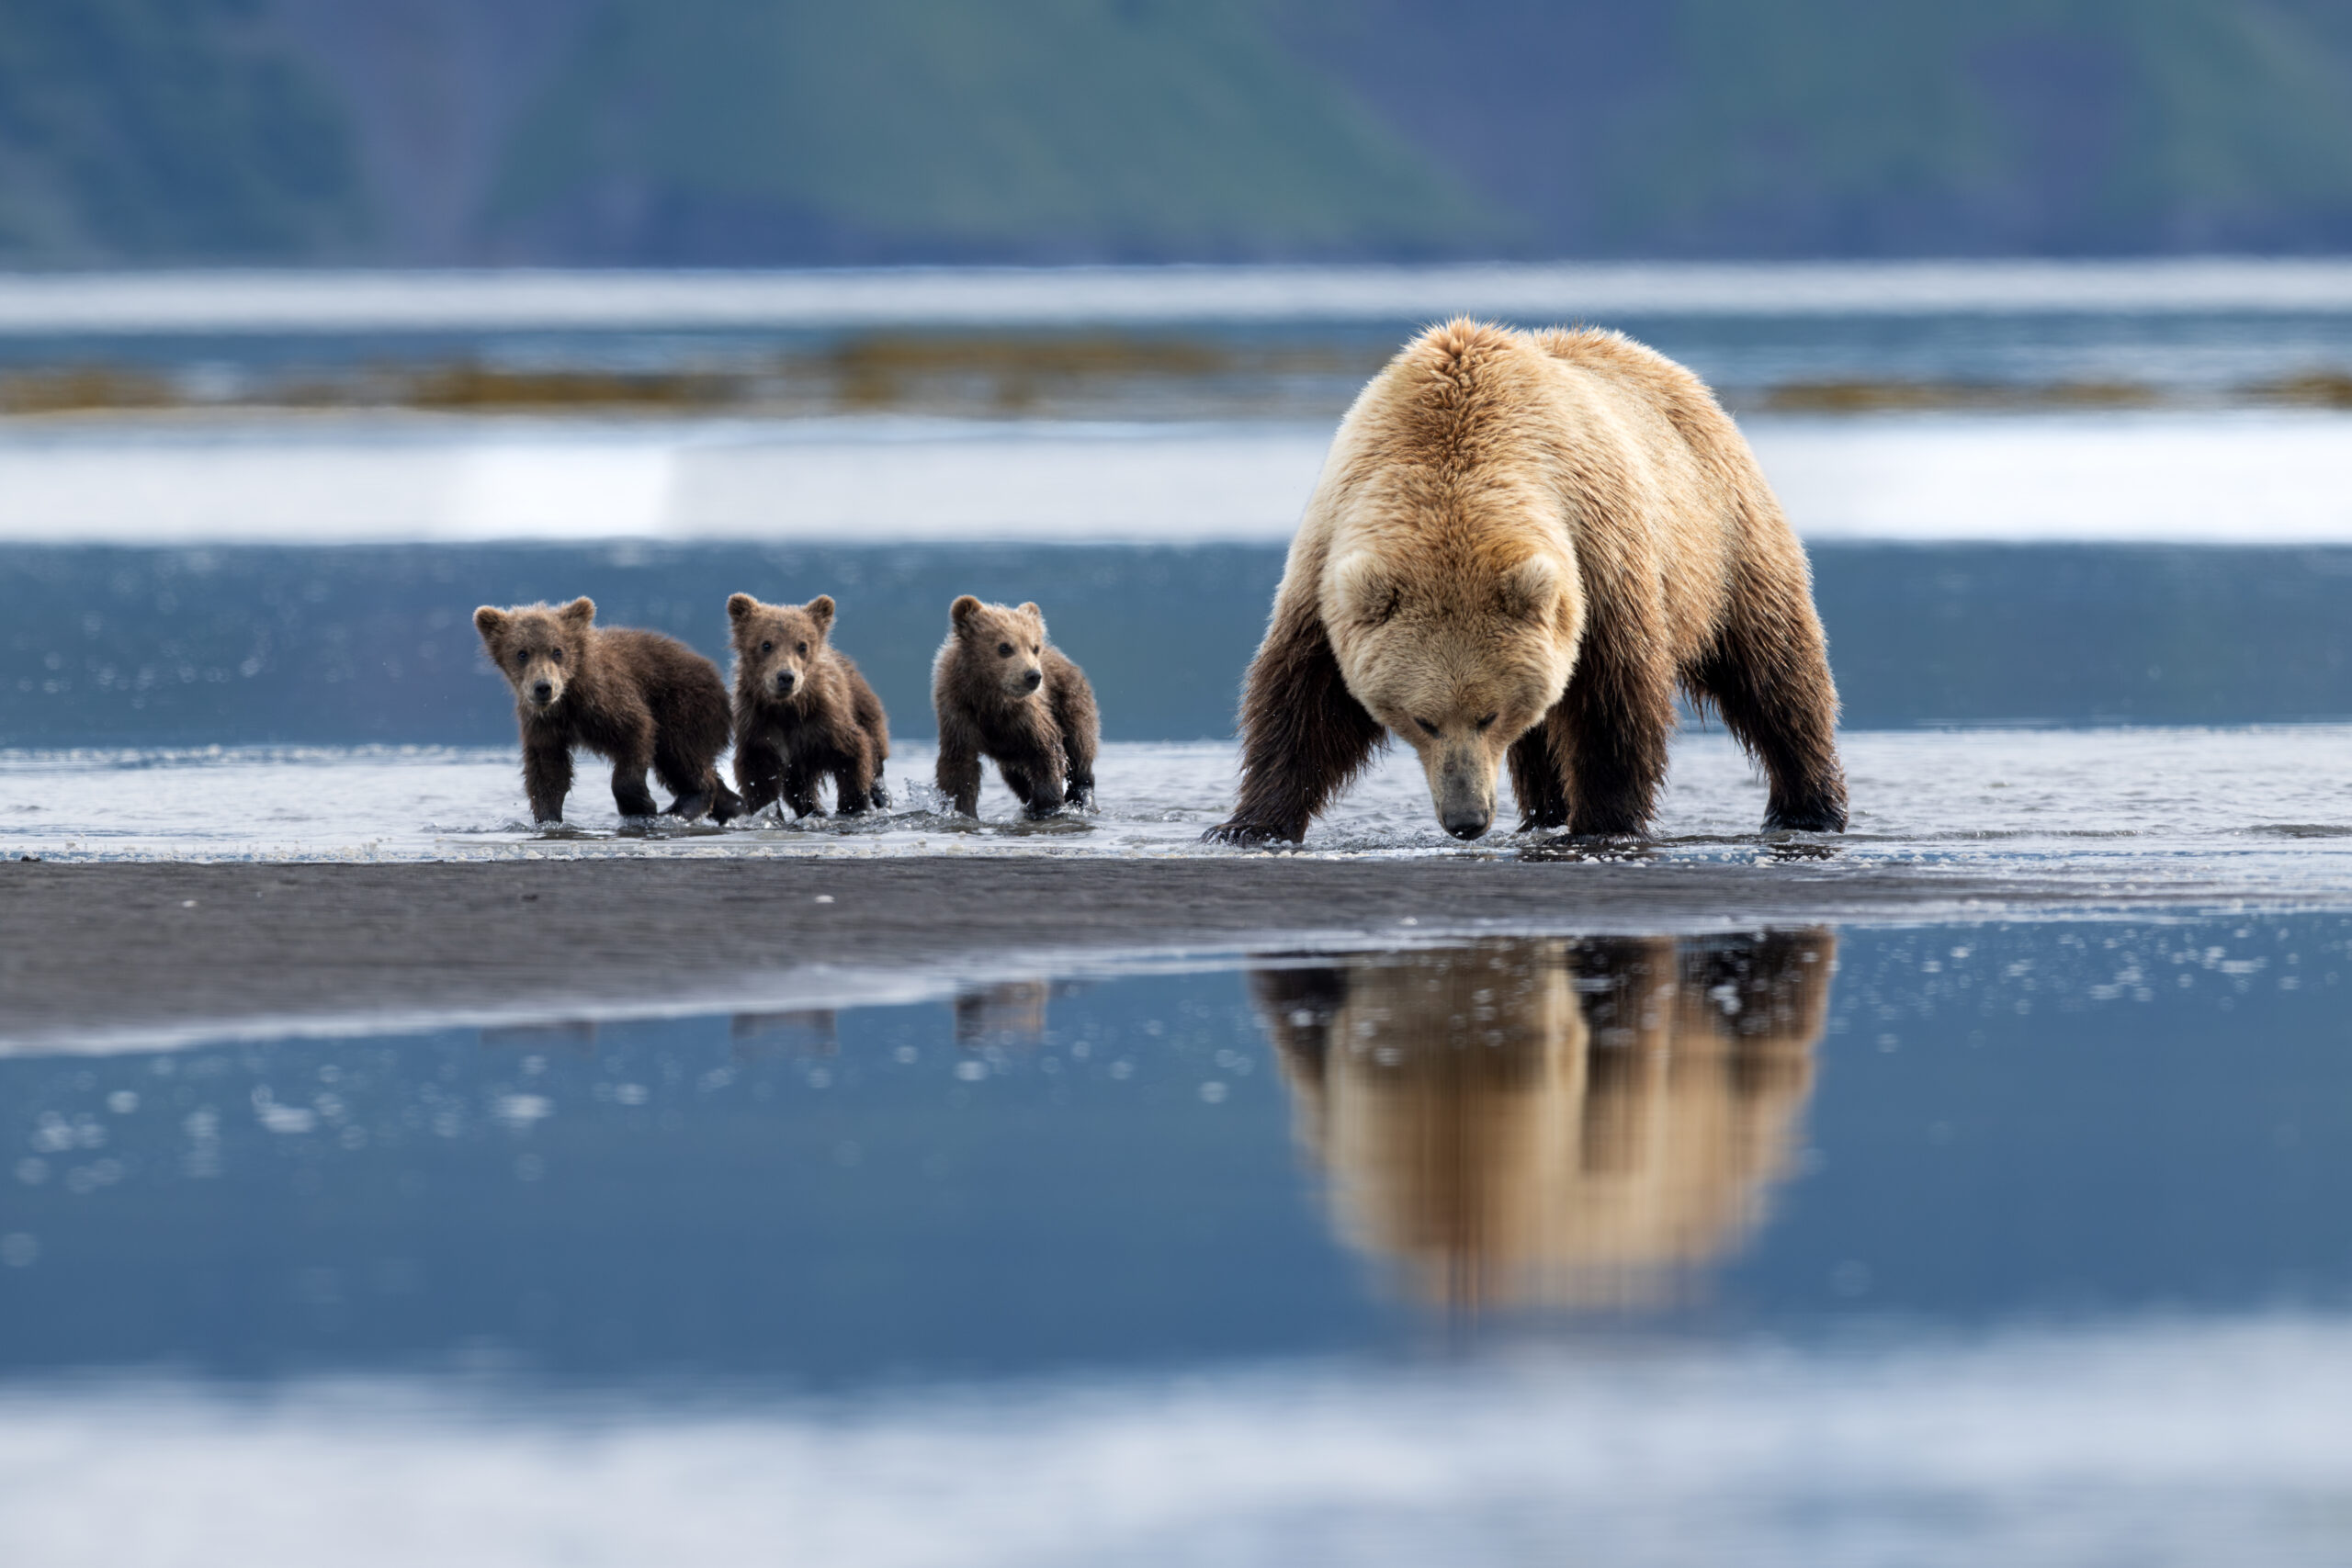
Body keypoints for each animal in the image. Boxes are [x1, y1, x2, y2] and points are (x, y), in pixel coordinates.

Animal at [473, 596, 741, 825]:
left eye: (557, 651)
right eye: (521, 653)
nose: (543, 687)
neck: (569, 698)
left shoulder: (607, 700)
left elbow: (636, 733)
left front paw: (641, 805)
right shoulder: (544, 724)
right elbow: (548, 771)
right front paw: (548, 818)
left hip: (683, 703)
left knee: (680, 752)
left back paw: (681, 807)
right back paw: (731, 805)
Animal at [726, 592, 892, 819]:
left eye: (802, 645)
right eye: (766, 644)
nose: (786, 677)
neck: (787, 709)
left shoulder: (826, 723)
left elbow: (854, 756)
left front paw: (852, 807)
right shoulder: (759, 729)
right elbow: (757, 777)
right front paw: (769, 813)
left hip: (860, 702)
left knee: (875, 741)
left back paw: (881, 794)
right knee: (799, 788)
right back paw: (813, 810)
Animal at [931, 596, 1099, 818]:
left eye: (1034, 647)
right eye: (1004, 647)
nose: (1033, 675)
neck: (990, 697)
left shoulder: (1028, 716)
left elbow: (1048, 750)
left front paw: (1050, 806)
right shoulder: (958, 712)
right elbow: (959, 769)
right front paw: (960, 810)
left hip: (1070, 699)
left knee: (1079, 746)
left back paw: (1082, 796)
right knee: (1016, 776)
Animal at [1206, 318, 1847, 846]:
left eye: (1487, 716)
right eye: (1422, 719)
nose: (1466, 820)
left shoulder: (1597, 559)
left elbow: (1613, 699)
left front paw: (1604, 823)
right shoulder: (1326, 567)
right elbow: (1302, 701)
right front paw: (1248, 825)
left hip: (1722, 539)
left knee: (1771, 668)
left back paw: (1808, 806)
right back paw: (1545, 811)